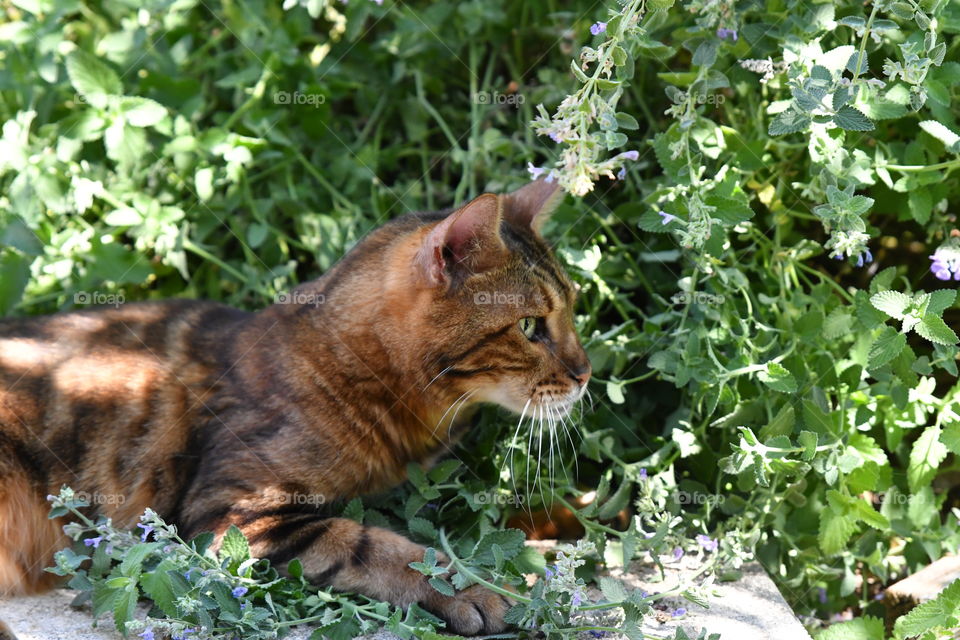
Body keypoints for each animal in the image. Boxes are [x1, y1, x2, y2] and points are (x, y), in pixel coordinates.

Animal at [0, 179, 592, 636]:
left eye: (572, 312)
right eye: (529, 326)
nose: (586, 373)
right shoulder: (231, 516)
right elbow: (372, 544)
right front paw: (466, 586)